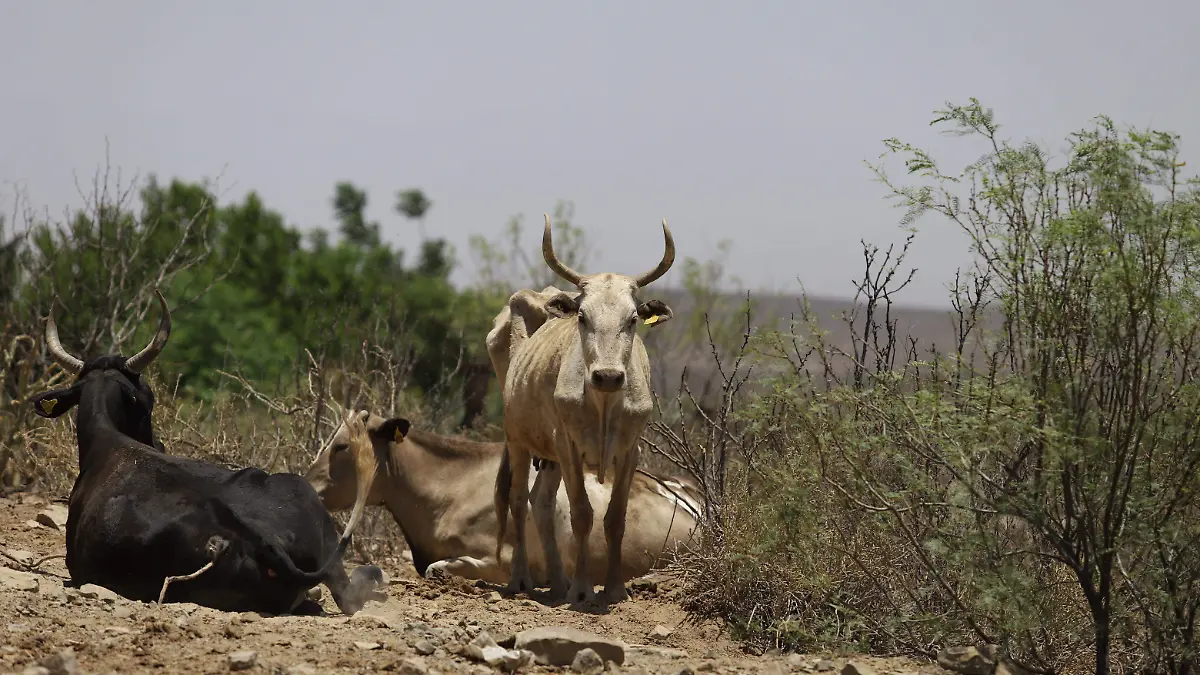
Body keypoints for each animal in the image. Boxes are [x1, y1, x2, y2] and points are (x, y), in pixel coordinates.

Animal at [489, 212, 676, 600]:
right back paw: (522, 578)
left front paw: (614, 588)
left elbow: (615, 518)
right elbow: (581, 514)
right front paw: (581, 590)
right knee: (517, 500)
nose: (607, 376)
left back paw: (557, 582)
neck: (603, 403)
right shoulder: (569, 446)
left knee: (541, 502)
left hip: (548, 456)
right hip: (517, 439)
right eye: (582, 317)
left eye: (632, 320)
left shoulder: (630, 450)